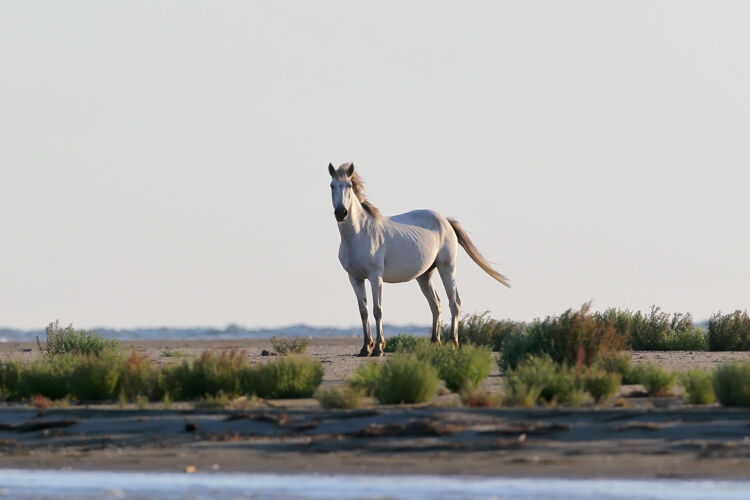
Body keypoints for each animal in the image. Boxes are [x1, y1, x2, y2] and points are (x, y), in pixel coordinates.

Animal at [328, 163, 512, 356]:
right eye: (332, 186)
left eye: (349, 185)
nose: (341, 213)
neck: (359, 233)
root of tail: (446, 221)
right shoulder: (355, 278)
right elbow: (363, 311)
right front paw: (365, 347)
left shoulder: (375, 276)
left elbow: (377, 310)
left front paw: (378, 348)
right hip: (424, 276)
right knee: (436, 304)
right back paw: (434, 342)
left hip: (447, 268)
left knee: (454, 302)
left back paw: (453, 343)